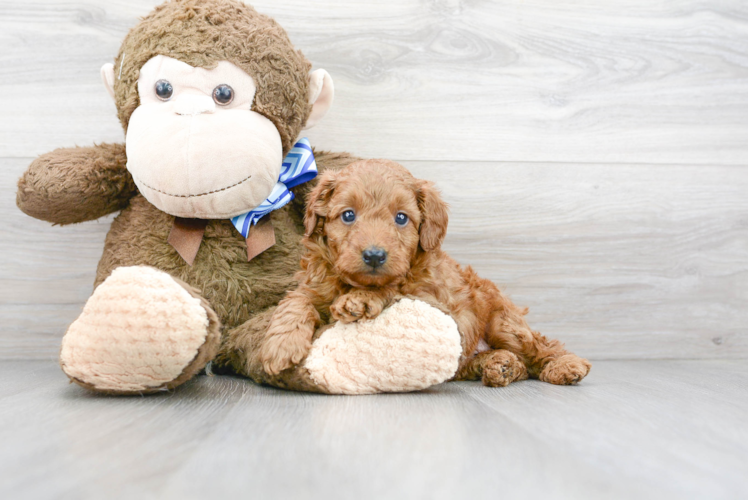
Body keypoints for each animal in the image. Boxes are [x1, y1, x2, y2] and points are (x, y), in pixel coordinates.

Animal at [260, 160, 592, 386]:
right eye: (348, 215)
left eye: (401, 218)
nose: (374, 255)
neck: (350, 281)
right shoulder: (315, 284)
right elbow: (295, 301)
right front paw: (281, 344)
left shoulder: (434, 300)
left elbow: (394, 288)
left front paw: (362, 298)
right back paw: (499, 365)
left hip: (504, 323)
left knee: (541, 347)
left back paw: (565, 366)